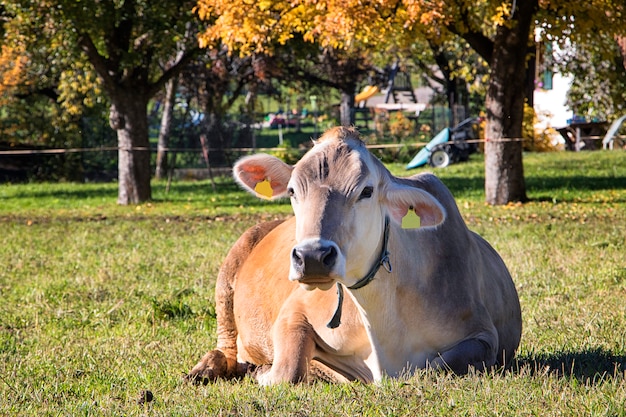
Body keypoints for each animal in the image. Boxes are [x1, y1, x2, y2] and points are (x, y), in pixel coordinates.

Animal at [186, 126, 520, 384]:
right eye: (292, 191)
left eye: (367, 191)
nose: (312, 256)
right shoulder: (295, 309)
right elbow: (288, 370)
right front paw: (268, 371)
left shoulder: (483, 335)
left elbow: (431, 368)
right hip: (228, 275)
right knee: (227, 348)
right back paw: (204, 370)